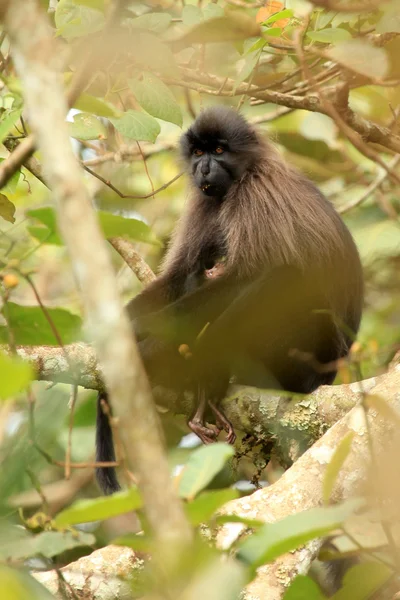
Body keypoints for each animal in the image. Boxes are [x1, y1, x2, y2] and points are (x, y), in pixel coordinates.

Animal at [96, 106, 362, 492]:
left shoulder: (255, 192)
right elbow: (177, 276)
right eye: (198, 153)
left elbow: (245, 276)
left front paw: (145, 343)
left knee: (281, 278)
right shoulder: (204, 202)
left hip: (314, 352)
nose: (203, 168)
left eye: (219, 151)